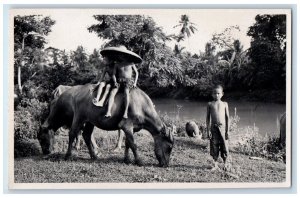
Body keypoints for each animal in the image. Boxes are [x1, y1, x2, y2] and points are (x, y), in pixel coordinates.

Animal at [38, 83, 173, 167]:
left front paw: (127, 159)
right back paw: (68, 155)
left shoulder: (133, 128)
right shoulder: (126, 125)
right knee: (73, 133)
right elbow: (134, 144)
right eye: (170, 147)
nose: (166, 165)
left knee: (86, 135)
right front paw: (139, 161)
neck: (141, 105)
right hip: (79, 117)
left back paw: (94, 156)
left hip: (90, 121)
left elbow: (128, 143)